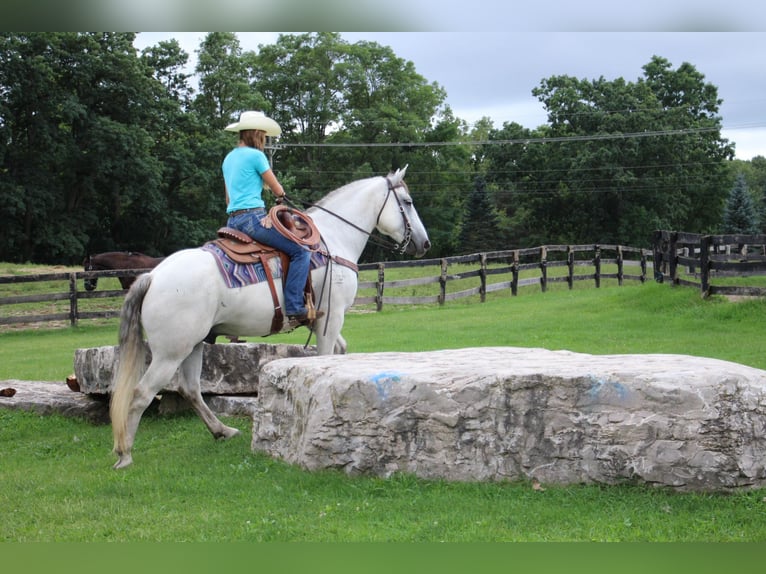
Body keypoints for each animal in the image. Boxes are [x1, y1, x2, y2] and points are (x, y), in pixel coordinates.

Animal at [109, 165, 432, 468]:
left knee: (190, 389)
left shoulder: (327, 320)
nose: (424, 243)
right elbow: (326, 356)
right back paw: (125, 453)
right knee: (141, 393)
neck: (334, 240)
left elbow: (340, 351)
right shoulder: (331, 318)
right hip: (170, 352)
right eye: (408, 201)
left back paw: (222, 431)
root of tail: (152, 277)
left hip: (193, 345)